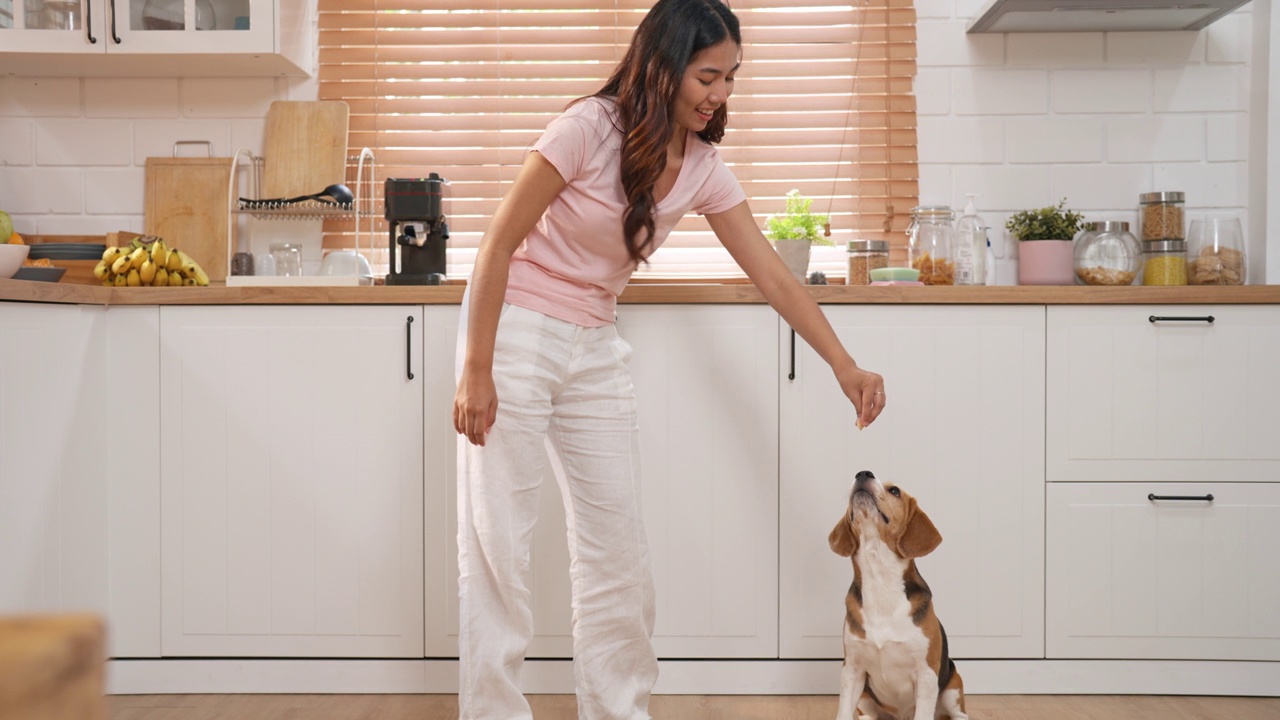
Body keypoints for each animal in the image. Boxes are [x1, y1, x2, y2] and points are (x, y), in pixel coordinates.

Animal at [824, 471, 962, 717]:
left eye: (895, 491)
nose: (863, 473)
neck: (880, 580)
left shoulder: (926, 675)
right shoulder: (851, 670)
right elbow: (843, 712)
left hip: (953, 687)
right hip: (865, 697)